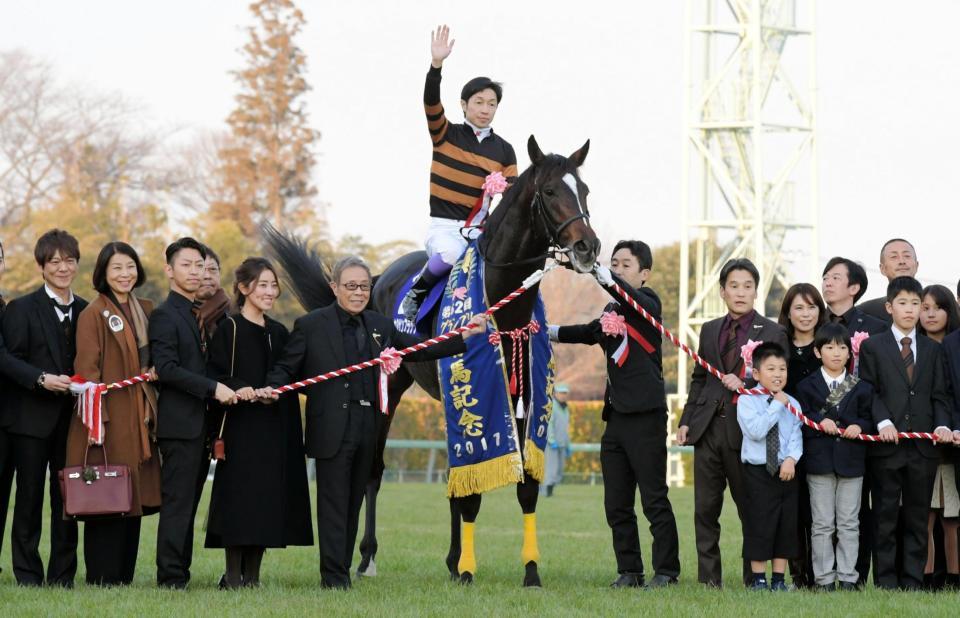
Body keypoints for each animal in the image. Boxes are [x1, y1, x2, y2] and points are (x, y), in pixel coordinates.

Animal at [264, 134, 600, 584]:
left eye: (584, 190)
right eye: (549, 191)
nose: (587, 247)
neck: (504, 308)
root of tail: (378, 280)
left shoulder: (523, 400)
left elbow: (523, 487)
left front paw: (528, 571)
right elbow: (468, 490)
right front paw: (467, 569)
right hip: (390, 389)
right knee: (373, 470)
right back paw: (366, 557)